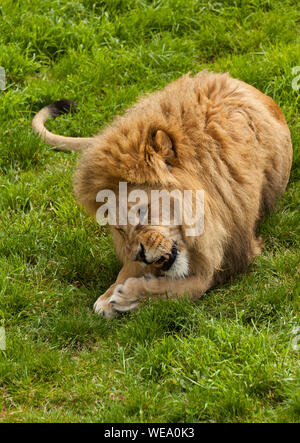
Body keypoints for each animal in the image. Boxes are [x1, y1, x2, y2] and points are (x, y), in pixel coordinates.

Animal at [32, 70, 292, 320]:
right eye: (119, 230)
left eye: (142, 211)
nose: (138, 254)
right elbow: (132, 270)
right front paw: (110, 294)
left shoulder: (235, 251)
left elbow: (187, 288)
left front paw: (127, 296)